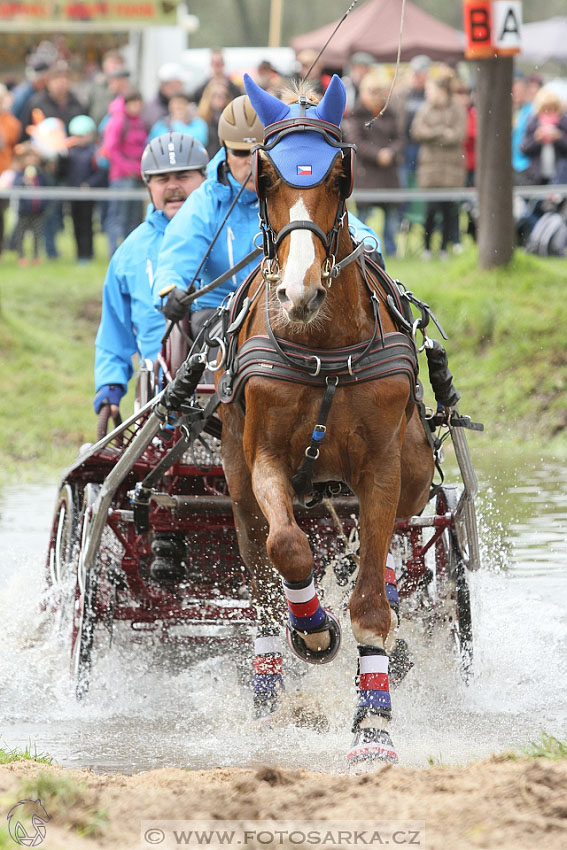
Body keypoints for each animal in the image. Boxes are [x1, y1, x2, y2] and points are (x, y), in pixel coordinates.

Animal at [217, 74, 434, 768]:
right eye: (265, 179)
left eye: (339, 177)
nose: (299, 291)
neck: (324, 349)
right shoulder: (264, 458)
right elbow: (288, 546)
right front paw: (314, 629)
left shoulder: (383, 466)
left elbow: (369, 602)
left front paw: (374, 729)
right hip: (235, 482)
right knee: (261, 577)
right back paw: (271, 678)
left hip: (414, 461)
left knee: (392, 542)